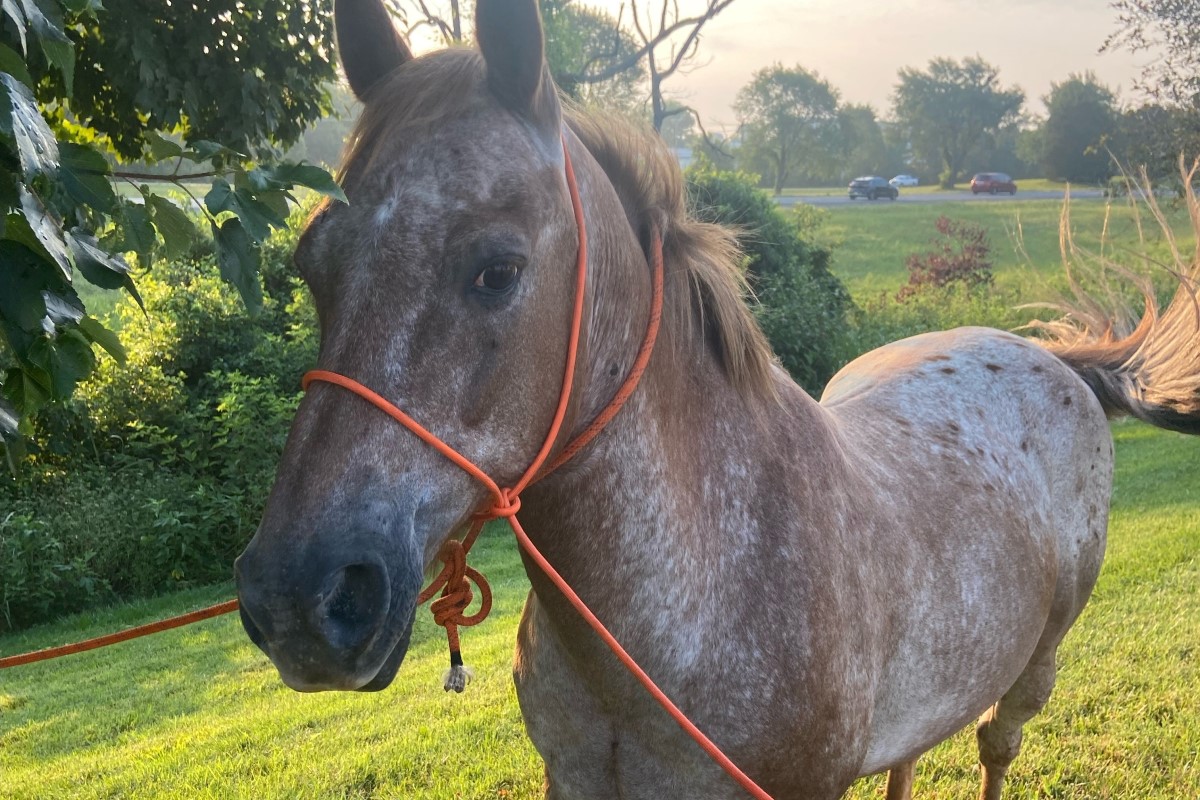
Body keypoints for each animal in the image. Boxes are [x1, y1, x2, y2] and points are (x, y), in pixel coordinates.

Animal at [233, 1, 1200, 797]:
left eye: (497, 270)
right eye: (312, 263)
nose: (298, 601)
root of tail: (1049, 359)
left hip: (1035, 669)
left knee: (998, 748)